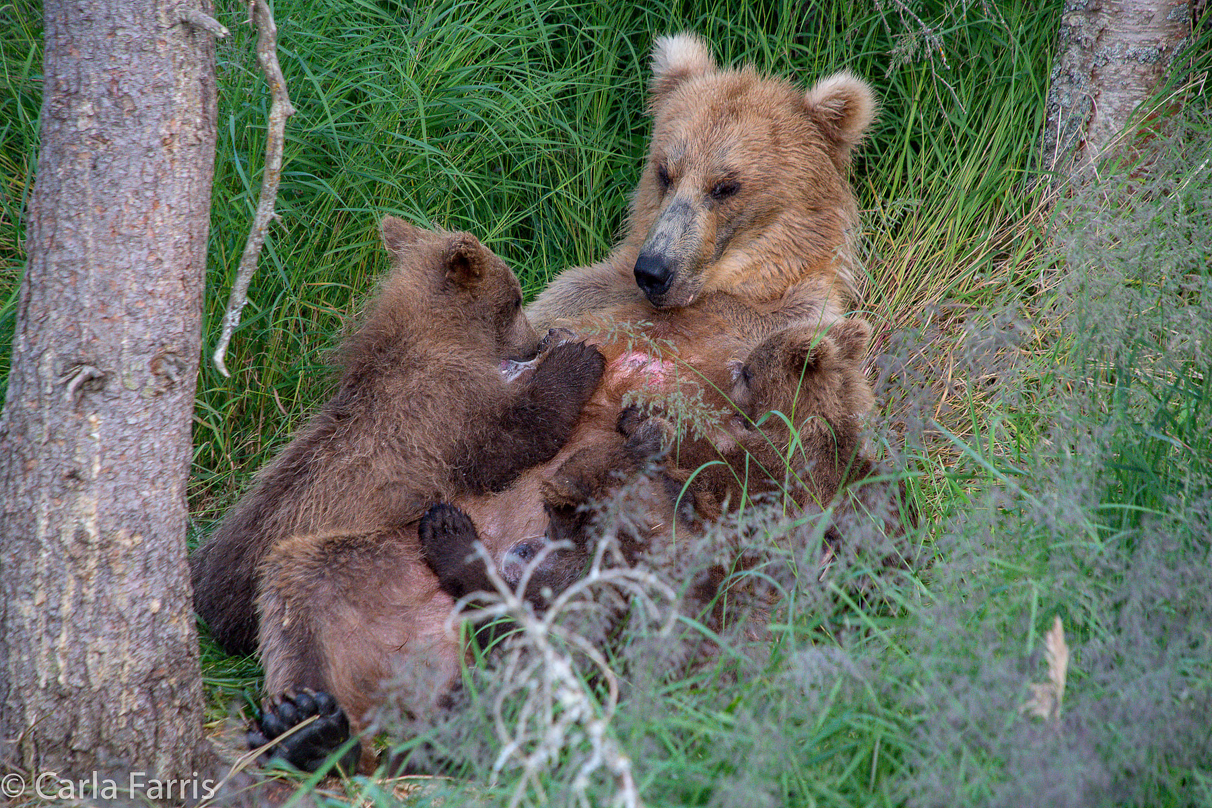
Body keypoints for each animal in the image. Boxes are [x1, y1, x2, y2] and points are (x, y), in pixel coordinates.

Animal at [191, 216, 603, 658]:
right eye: (515, 298)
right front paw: (578, 358)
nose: (534, 341)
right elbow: (514, 440)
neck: (442, 338)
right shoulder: (445, 411)